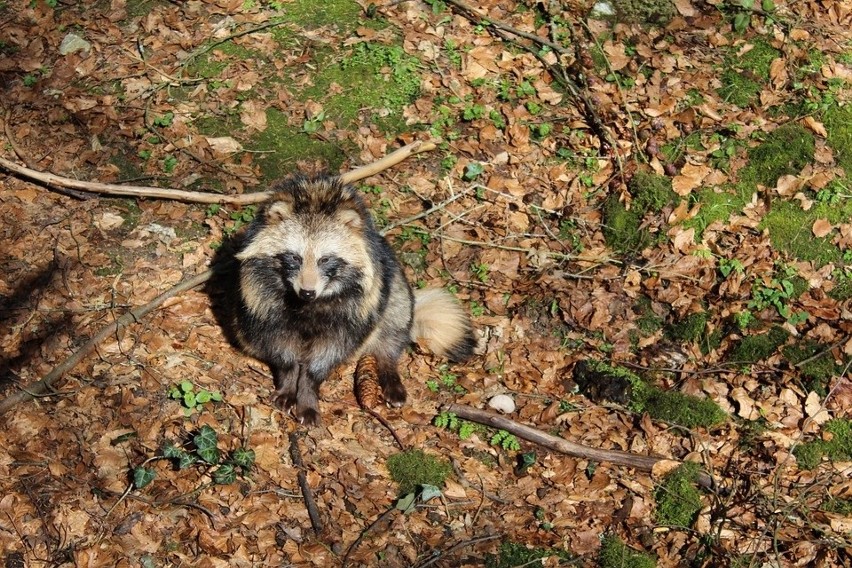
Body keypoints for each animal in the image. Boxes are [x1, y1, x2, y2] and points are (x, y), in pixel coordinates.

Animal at [230, 175, 476, 424]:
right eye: (294, 257)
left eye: (324, 259)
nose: (307, 292)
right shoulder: (262, 297)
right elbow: (281, 348)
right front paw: (289, 383)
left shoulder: (354, 309)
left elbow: (327, 355)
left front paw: (308, 393)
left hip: (394, 289)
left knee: (394, 324)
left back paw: (388, 369)